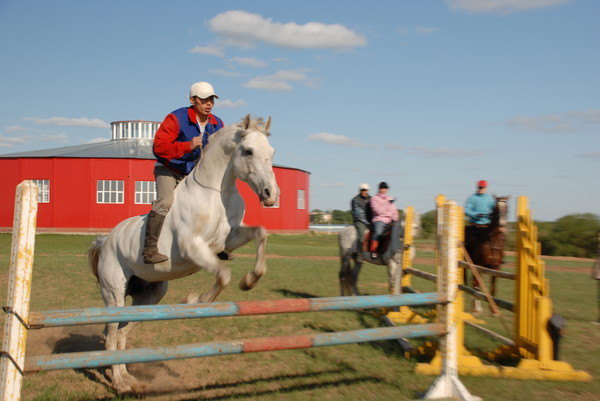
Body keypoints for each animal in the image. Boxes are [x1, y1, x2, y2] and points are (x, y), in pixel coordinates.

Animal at [87, 114, 278, 392]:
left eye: (271, 153)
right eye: (248, 151)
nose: (271, 195)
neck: (218, 192)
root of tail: (106, 241)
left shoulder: (229, 240)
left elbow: (260, 234)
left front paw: (250, 280)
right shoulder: (193, 248)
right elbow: (223, 275)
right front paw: (194, 301)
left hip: (150, 297)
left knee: (121, 333)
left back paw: (126, 378)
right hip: (114, 294)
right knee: (111, 335)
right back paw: (120, 384)